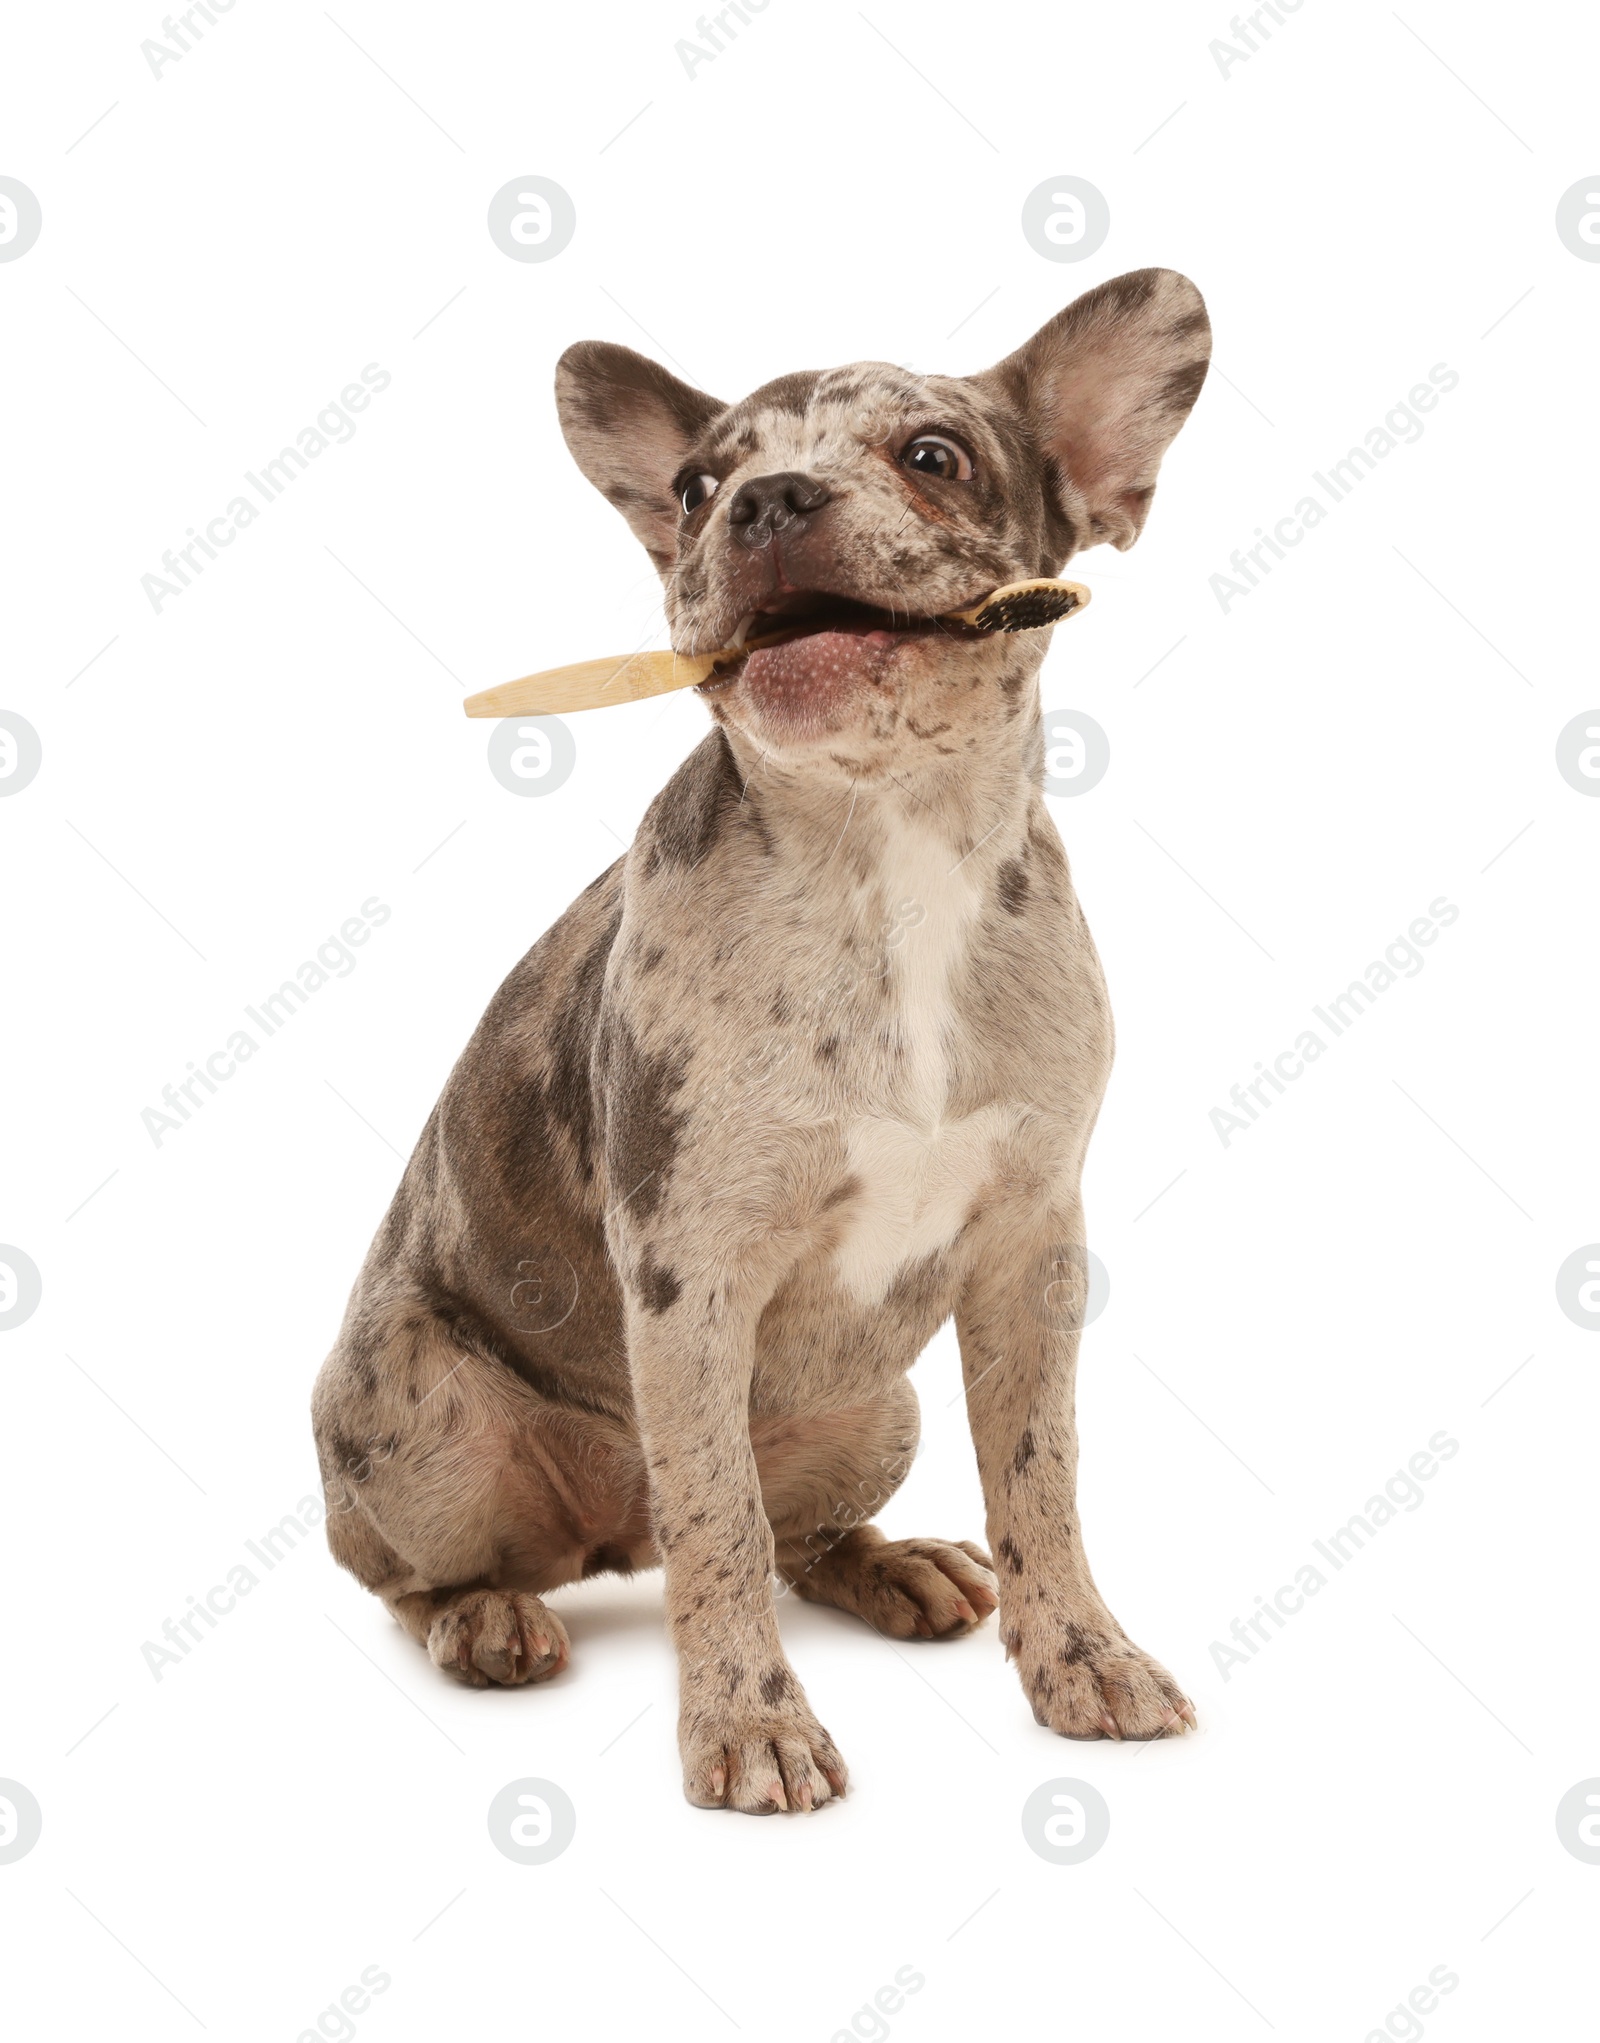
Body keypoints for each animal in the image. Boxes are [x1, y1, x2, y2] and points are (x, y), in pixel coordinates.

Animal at [312, 263, 1217, 1814]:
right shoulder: (692, 1270)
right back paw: (489, 1615)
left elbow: (1041, 1473)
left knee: (799, 1531)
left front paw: (1080, 1655)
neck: (887, 847)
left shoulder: (1033, 1252)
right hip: (415, 1407)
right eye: (694, 485)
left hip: (876, 1406)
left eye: (932, 455)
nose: (767, 500)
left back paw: (893, 1562)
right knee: (433, 1571)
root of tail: (607, 1538)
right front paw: (748, 1722)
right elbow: (716, 1510)